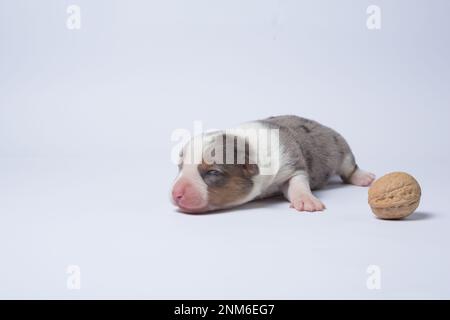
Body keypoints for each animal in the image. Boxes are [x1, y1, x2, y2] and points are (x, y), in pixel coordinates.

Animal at [171, 115, 374, 212]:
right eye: (180, 167)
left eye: (213, 172)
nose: (175, 194)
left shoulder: (292, 164)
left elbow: (298, 182)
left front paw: (306, 200)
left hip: (341, 148)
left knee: (349, 168)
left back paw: (363, 177)